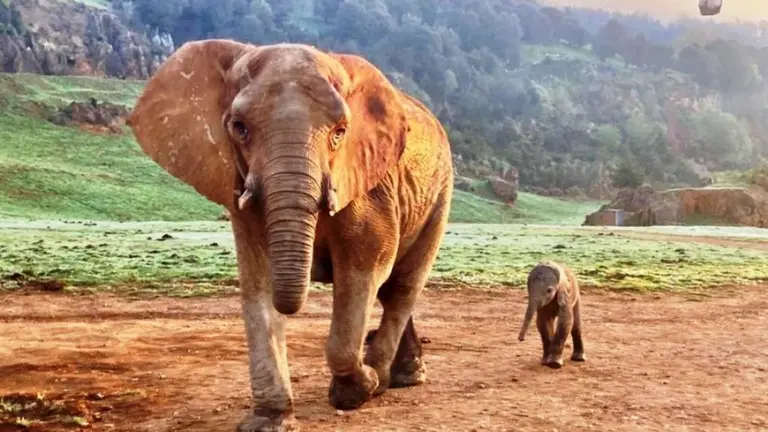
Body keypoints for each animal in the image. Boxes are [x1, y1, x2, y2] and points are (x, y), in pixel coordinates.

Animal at [126, 39, 454, 431]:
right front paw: (269, 422)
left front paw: (358, 390)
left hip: (440, 194)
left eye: (340, 132)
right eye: (239, 128)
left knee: (401, 287)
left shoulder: (369, 189)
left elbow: (364, 271)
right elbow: (258, 283)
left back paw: (388, 378)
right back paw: (397, 375)